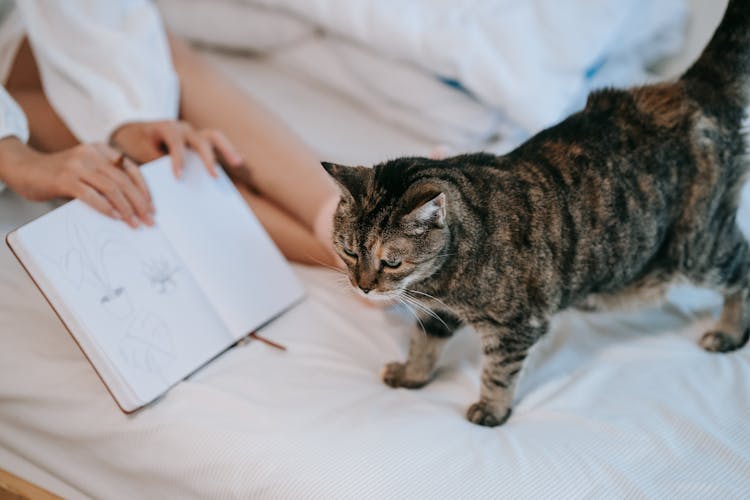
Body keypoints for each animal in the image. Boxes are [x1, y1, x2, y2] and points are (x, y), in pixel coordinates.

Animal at [320, 0, 748, 430]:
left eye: (391, 262)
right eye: (349, 252)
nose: (362, 287)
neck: (444, 274)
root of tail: (687, 86)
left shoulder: (517, 327)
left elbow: (497, 373)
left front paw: (491, 410)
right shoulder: (437, 312)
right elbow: (423, 344)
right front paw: (413, 375)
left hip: (696, 248)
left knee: (741, 269)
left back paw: (729, 333)